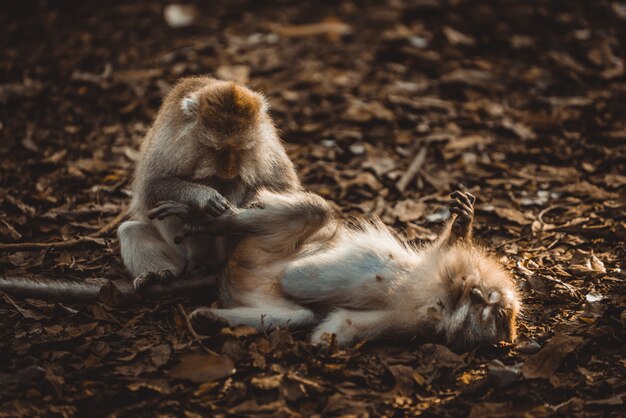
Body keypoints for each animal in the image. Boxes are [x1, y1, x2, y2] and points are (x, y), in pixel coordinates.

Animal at [151, 189, 520, 350]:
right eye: (495, 311)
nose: (508, 329)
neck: (437, 300)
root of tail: (235, 270)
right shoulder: (429, 274)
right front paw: (462, 225)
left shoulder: (411, 318)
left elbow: (333, 326)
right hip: (261, 248)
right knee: (317, 210)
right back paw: (217, 222)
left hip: (254, 284)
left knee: (298, 315)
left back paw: (212, 318)